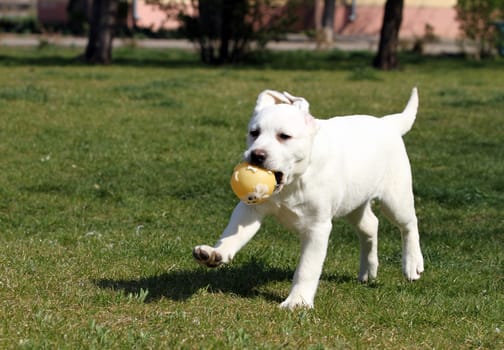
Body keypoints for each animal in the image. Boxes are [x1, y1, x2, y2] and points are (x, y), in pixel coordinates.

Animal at [195, 89, 424, 310]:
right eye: (254, 133)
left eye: (284, 136)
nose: (256, 155)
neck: (293, 181)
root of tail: (388, 123)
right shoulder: (250, 209)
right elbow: (233, 235)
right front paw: (216, 253)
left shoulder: (317, 227)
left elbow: (307, 267)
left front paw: (298, 301)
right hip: (354, 201)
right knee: (370, 225)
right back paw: (368, 270)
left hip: (395, 197)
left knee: (409, 224)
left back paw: (412, 263)